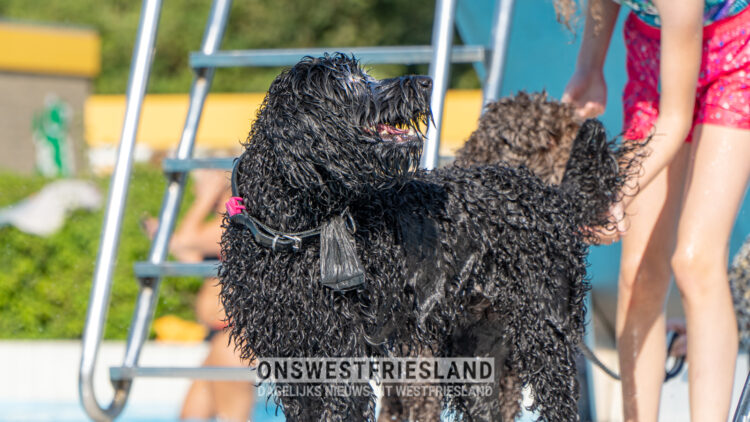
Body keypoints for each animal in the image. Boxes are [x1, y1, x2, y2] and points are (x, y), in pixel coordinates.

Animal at [216, 54, 640, 420]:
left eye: (363, 74)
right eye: (351, 83)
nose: (425, 81)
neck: (295, 230)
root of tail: (552, 197)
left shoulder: (342, 355)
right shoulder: (291, 356)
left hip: (547, 335)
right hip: (480, 352)